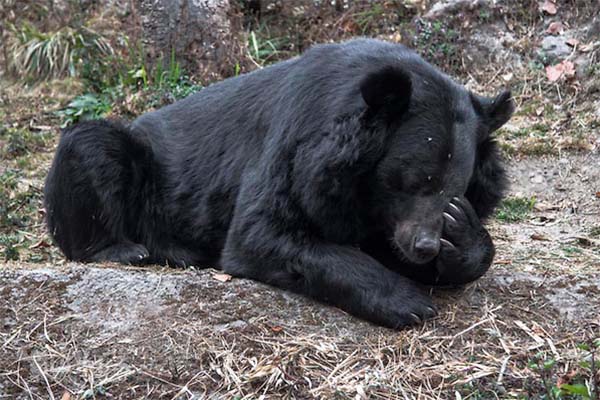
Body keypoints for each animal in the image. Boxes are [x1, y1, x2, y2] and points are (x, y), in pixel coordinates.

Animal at [45, 39, 516, 328]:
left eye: (454, 189)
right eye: (416, 180)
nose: (424, 246)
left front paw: (460, 238)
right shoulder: (296, 142)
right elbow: (262, 233)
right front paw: (409, 303)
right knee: (92, 146)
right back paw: (129, 249)